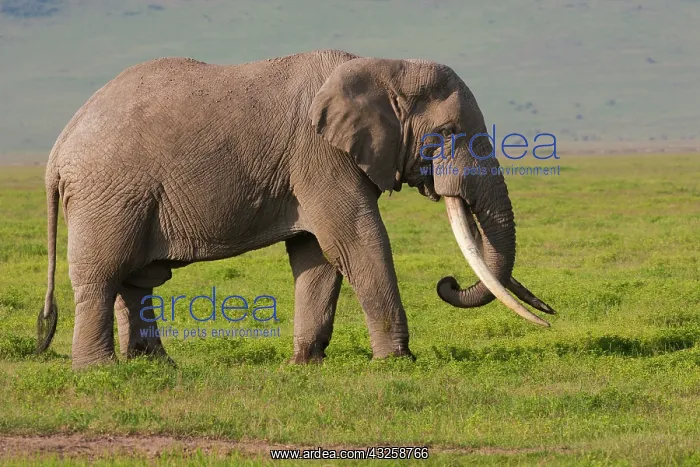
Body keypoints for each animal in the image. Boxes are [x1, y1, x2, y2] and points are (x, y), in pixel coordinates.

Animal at [37, 49, 556, 370]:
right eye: (447, 133)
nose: (446, 283)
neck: (384, 66)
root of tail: (58, 150)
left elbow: (317, 255)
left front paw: (305, 364)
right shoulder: (320, 154)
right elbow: (357, 240)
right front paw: (398, 362)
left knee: (134, 279)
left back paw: (156, 366)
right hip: (109, 193)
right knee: (103, 276)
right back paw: (98, 370)